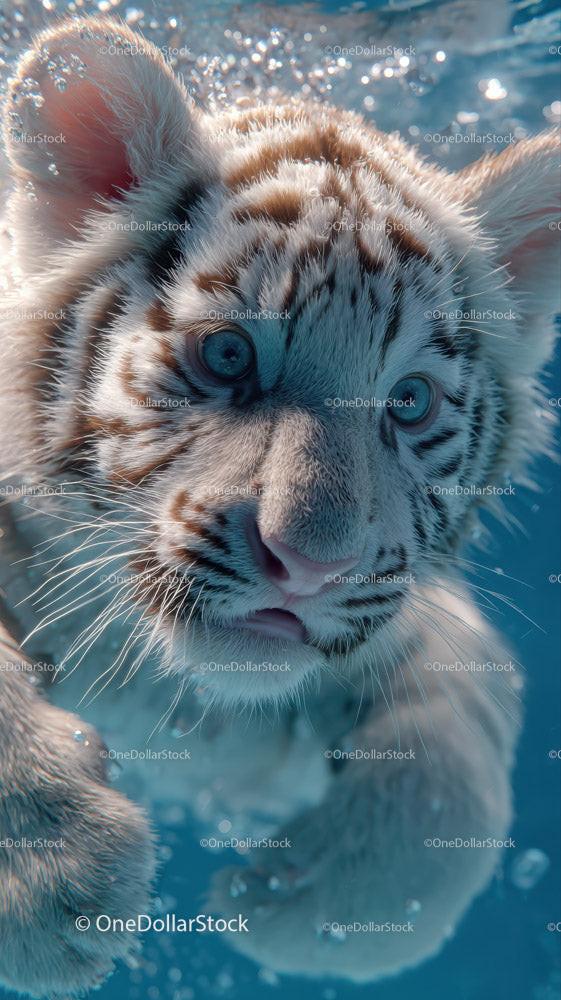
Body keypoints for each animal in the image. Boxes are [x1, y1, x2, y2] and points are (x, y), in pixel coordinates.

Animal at [0, 17, 559, 999]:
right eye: (226, 355)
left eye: (408, 402)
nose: (309, 566)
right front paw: (59, 874)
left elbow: (452, 751)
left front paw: (305, 906)